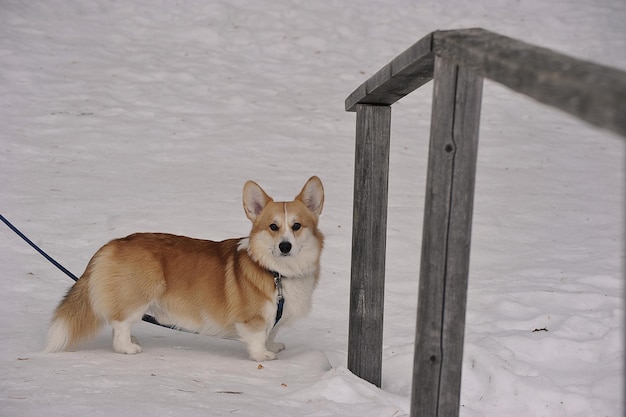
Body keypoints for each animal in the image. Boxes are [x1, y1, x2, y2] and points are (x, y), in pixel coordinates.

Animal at [46, 176, 324, 360]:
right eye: (273, 227)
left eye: (297, 226)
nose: (285, 246)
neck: (278, 271)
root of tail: (113, 244)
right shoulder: (253, 319)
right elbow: (257, 338)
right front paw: (264, 355)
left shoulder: (274, 319)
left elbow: (271, 332)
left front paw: (273, 347)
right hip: (139, 295)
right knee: (121, 323)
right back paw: (129, 348)